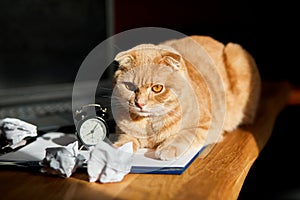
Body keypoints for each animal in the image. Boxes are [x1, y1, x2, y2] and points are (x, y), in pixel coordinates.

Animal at [111, 36, 262, 161]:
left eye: (157, 88)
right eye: (130, 86)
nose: (140, 104)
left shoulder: (208, 125)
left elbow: (185, 134)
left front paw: (168, 147)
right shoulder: (123, 130)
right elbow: (126, 138)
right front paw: (118, 150)